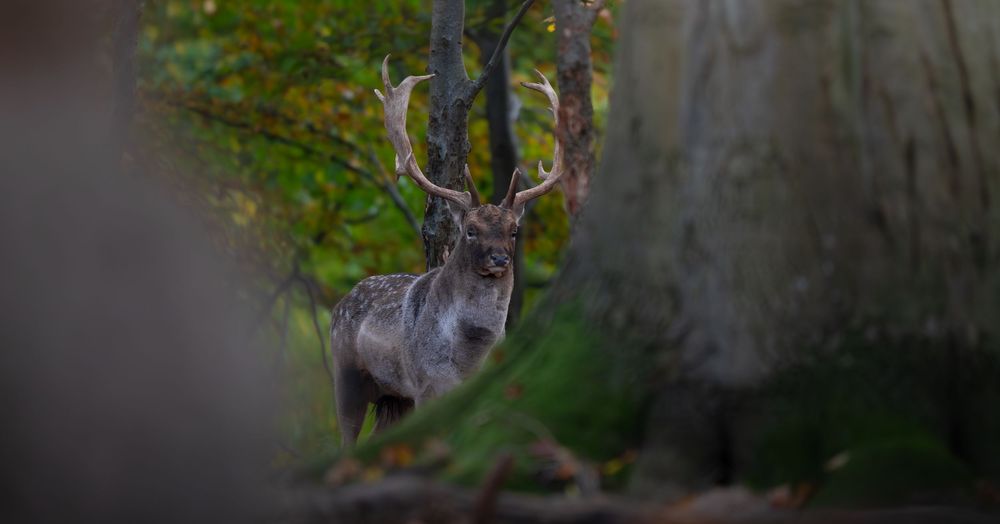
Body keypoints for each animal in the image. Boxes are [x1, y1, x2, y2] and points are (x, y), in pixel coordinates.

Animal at [329, 56, 563, 446]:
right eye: (470, 230)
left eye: (514, 230)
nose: (499, 258)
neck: (469, 358)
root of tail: (341, 301)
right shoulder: (427, 384)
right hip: (346, 374)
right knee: (347, 437)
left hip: (394, 396)